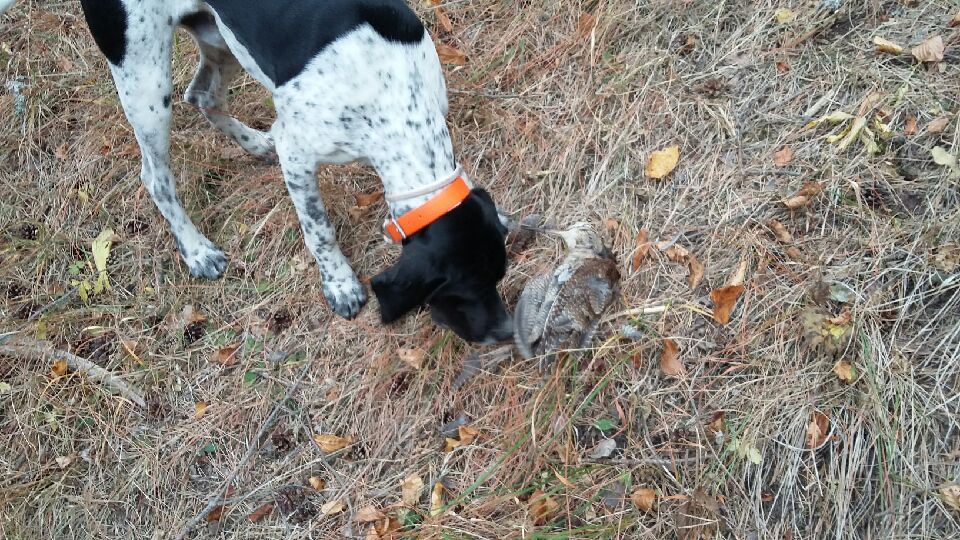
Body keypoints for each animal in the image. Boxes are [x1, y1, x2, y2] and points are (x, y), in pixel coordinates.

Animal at [1, 0, 516, 344]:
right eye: (462, 290)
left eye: (499, 276)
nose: (508, 333)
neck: (397, 100)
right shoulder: (299, 153)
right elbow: (319, 230)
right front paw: (340, 284)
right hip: (143, 79)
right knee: (156, 175)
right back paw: (197, 250)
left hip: (218, 38)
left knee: (202, 96)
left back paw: (254, 143)